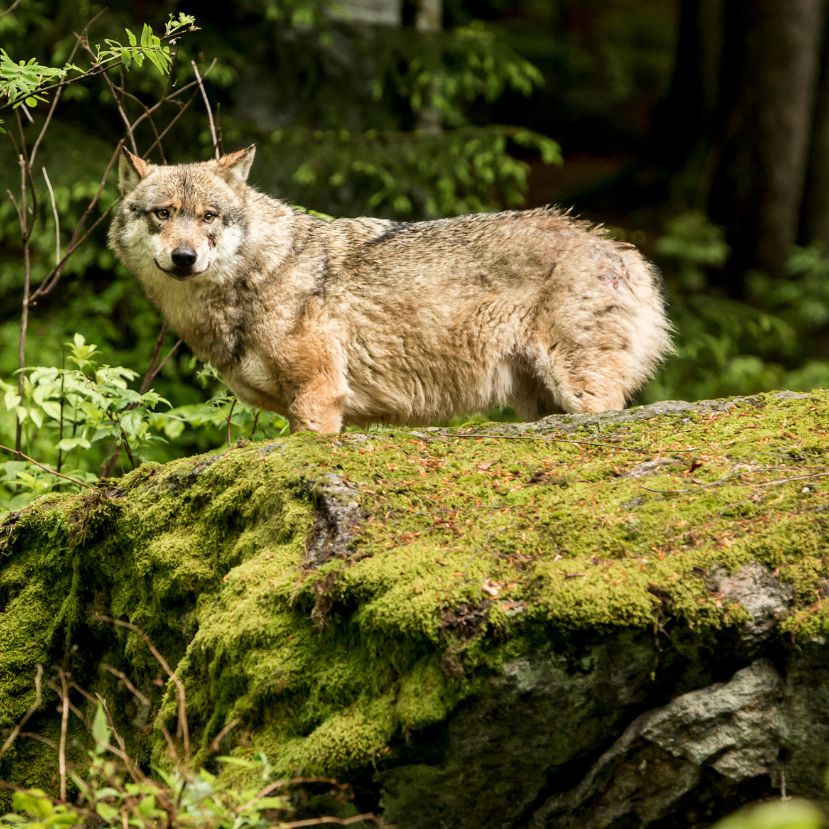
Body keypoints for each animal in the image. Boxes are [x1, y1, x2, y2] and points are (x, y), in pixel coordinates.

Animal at [106, 146, 672, 434]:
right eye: (162, 214)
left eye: (208, 217)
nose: (185, 258)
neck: (262, 271)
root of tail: (623, 251)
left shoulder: (319, 399)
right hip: (539, 404)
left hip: (579, 393)